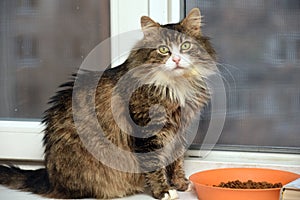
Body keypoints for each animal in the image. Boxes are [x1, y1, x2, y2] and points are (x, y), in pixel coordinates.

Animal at [0, 7, 217, 198]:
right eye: (163, 50)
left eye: (186, 46)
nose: (177, 60)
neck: (175, 88)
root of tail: (49, 177)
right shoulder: (147, 133)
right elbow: (155, 166)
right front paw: (164, 191)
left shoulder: (180, 132)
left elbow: (177, 162)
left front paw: (181, 183)